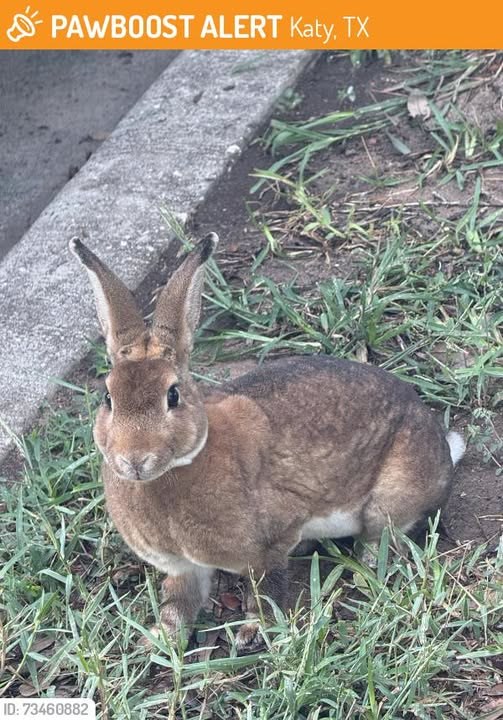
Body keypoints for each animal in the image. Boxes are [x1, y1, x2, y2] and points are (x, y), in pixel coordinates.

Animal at [70, 233, 465, 650]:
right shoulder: (182, 566)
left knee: (384, 536)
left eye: (172, 396)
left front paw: (250, 633)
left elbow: (266, 592)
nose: (134, 459)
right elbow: (178, 603)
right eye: (108, 397)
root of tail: (443, 451)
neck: (182, 465)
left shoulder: (270, 544)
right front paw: (159, 642)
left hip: (390, 497)